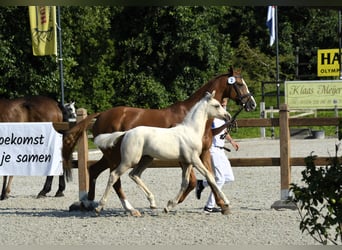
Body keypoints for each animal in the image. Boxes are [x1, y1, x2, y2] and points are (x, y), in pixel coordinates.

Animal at [95, 91, 231, 215]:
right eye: (217, 105)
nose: (228, 116)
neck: (191, 131)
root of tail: (126, 133)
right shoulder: (194, 159)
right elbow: (210, 176)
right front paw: (226, 202)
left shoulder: (187, 162)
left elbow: (185, 183)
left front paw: (169, 206)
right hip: (129, 161)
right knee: (114, 176)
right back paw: (100, 207)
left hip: (146, 159)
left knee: (134, 175)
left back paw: (152, 202)